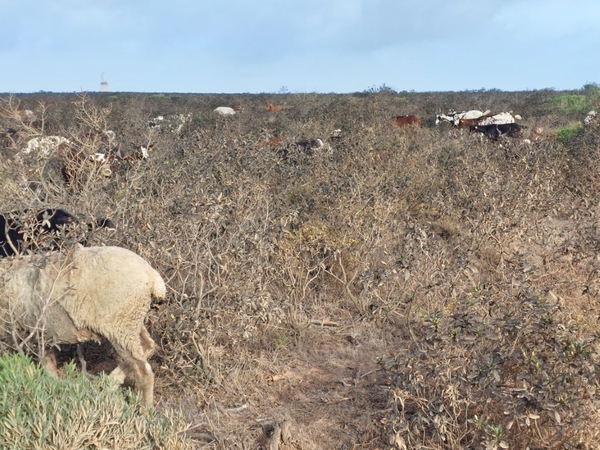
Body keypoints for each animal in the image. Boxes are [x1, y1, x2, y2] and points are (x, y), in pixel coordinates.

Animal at [0, 246, 165, 408]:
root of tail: (151, 276)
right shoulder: (42, 335)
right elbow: (49, 367)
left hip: (120, 325)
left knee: (143, 370)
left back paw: (144, 409)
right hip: (131, 320)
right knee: (147, 346)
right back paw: (108, 385)